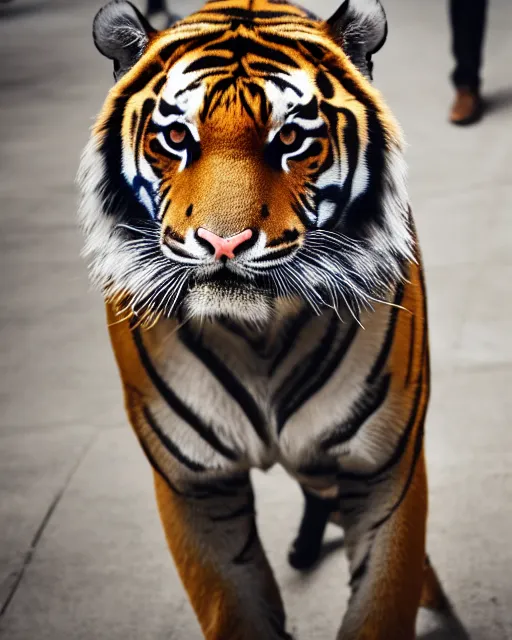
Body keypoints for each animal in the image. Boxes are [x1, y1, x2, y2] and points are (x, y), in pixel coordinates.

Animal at [77, 1, 452, 640]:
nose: (224, 244)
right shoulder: (197, 485)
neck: (259, 336)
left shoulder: (383, 466)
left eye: (292, 139)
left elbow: (385, 594)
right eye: (176, 137)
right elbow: (233, 603)